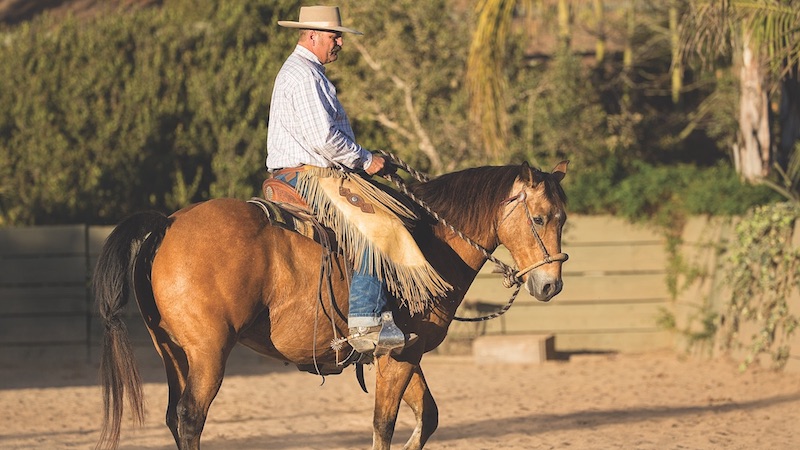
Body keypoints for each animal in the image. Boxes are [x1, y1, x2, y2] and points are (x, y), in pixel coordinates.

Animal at [93, 160, 569, 450]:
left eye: (563, 218)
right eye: (539, 217)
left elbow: (428, 417)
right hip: (208, 353)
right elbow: (383, 425)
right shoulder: (397, 356)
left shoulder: (404, 352)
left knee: (175, 418)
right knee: (191, 418)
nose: (550, 284)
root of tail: (167, 223)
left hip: (173, 352)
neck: (432, 244)